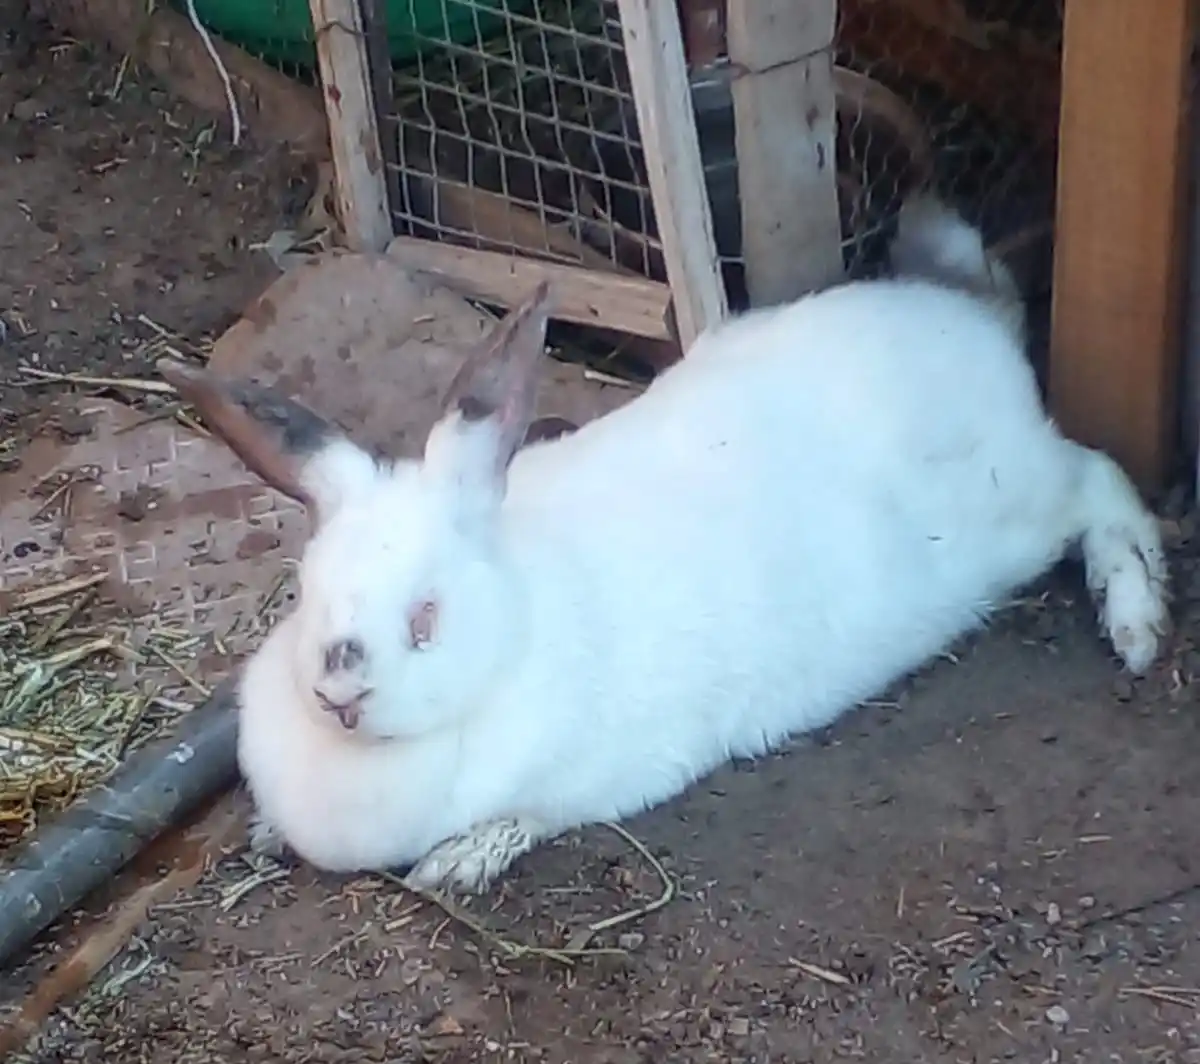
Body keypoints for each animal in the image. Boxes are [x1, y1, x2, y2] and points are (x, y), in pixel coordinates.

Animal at [158, 196, 1168, 896]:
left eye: (426, 618)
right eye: (304, 593)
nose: (337, 692)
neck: (520, 624)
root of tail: (970, 318)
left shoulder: (592, 780)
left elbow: (526, 817)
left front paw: (458, 862)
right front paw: (268, 834)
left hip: (1023, 509)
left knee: (1102, 479)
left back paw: (1137, 625)